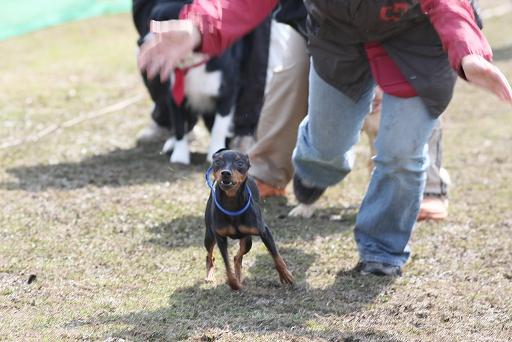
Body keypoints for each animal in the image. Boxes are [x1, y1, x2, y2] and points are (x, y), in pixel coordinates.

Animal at [203, 149, 292, 288]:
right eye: (218, 162)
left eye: (239, 163)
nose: (225, 173)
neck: (232, 202)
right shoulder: (220, 237)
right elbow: (227, 265)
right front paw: (233, 284)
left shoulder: (264, 232)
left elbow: (276, 256)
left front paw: (285, 275)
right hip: (209, 236)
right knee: (210, 255)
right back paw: (211, 276)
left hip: (247, 241)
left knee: (237, 257)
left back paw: (239, 277)